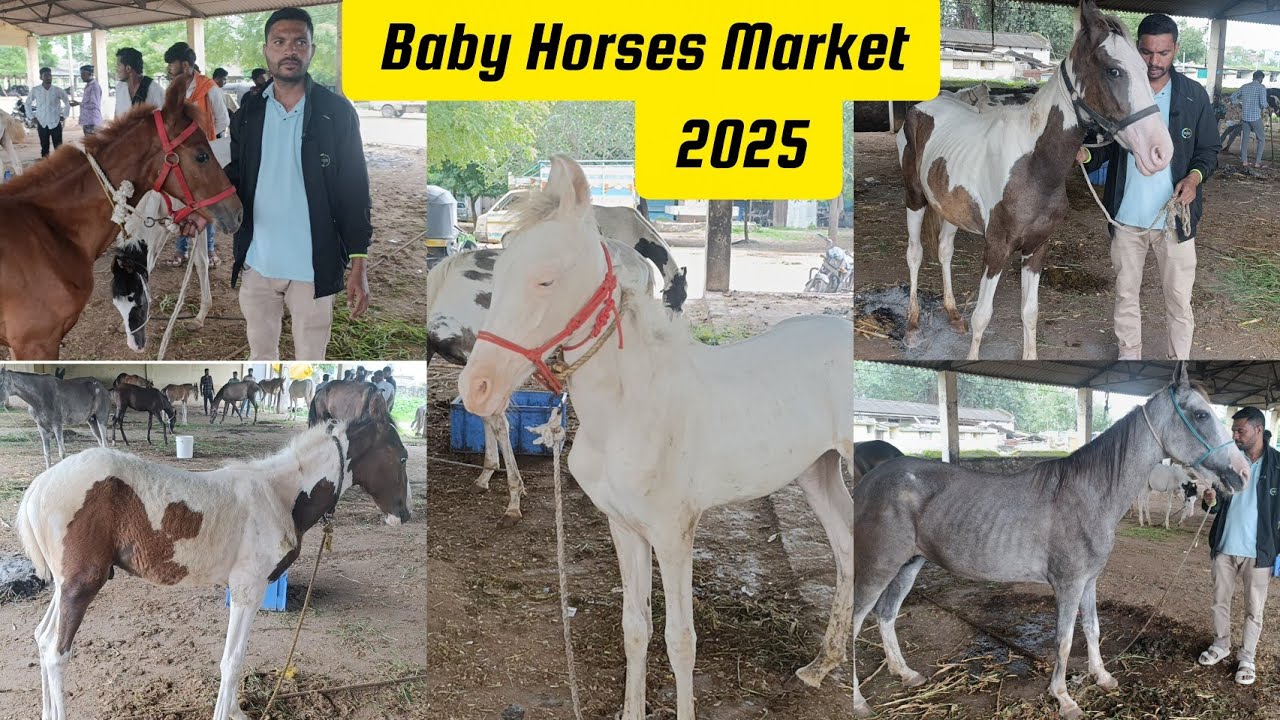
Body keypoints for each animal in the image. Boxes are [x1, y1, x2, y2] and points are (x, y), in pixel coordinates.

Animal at [16, 417, 411, 720]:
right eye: (403, 457)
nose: (403, 515)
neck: (278, 495)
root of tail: (38, 487)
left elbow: (238, 657)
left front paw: (235, 711)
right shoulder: (248, 589)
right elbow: (232, 660)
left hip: (64, 584)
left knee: (41, 637)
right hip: (82, 583)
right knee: (56, 652)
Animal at [458, 156, 855, 719]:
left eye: (546, 279)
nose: (477, 388)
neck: (627, 410)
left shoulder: (673, 533)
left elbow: (681, 640)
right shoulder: (624, 526)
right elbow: (635, 629)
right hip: (815, 470)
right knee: (845, 546)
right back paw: (821, 665)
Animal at [850, 363, 1251, 720]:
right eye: (1200, 414)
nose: (1243, 473)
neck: (1086, 494)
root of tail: (870, 480)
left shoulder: (1089, 581)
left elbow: (1092, 629)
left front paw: (1102, 677)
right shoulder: (1067, 584)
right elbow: (1064, 638)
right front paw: (1064, 698)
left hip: (908, 565)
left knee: (885, 615)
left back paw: (906, 674)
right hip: (877, 567)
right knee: (852, 625)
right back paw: (858, 702)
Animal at [896, 0, 1173, 360]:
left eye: (1146, 67)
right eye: (1114, 70)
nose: (1160, 152)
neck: (1033, 165)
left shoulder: (1037, 249)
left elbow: (1030, 312)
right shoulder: (996, 248)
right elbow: (983, 316)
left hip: (948, 207)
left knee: (944, 251)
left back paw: (953, 314)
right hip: (915, 198)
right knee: (915, 253)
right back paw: (912, 326)